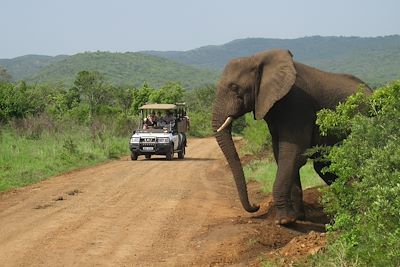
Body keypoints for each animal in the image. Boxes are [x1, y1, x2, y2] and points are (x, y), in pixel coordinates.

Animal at [211, 48, 370, 226]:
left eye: (234, 87)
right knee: (323, 166)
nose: (256, 205)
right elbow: (281, 154)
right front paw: (297, 217)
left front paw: (284, 221)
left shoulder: (297, 103)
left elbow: (293, 153)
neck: (257, 59)